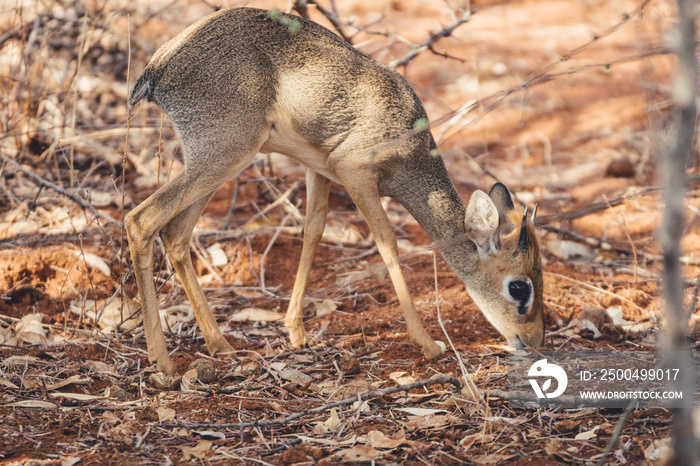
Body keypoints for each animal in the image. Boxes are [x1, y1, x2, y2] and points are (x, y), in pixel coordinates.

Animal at [126, 7, 544, 376]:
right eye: (518, 287)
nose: (532, 341)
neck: (409, 140)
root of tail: (158, 68)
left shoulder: (318, 170)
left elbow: (313, 231)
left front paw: (295, 331)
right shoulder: (355, 173)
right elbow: (388, 243)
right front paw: (427, 343)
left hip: (212, 162)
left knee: (175, 233)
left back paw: (219, 344)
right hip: (225, 155)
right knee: (141, 220)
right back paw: (163, 362)